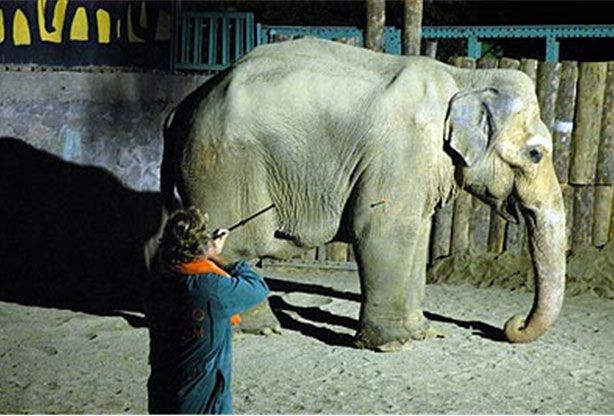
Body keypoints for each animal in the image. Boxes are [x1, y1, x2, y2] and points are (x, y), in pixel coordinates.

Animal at [159, 38, 568, 352]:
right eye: (536, 153)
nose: (510, 324)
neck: (465, 78)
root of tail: (181, 107)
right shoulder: (402, 149)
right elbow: (383, 229)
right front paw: (393, 345)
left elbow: (417, 234)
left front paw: (423, 333)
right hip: (225, 164)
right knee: (238, 243)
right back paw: (261, 327)